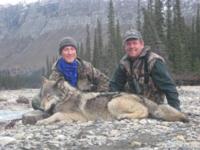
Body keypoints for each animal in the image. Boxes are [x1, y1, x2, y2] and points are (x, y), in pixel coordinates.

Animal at [36, 77, 189, 124]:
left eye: (49, 96)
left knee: (144, 112)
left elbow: (57, 114)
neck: (65, 97)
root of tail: (141, 97)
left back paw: (123, 116)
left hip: (112, 103)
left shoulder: (80, 117)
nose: (42, 108)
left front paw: (43, 121)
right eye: (42, 96)